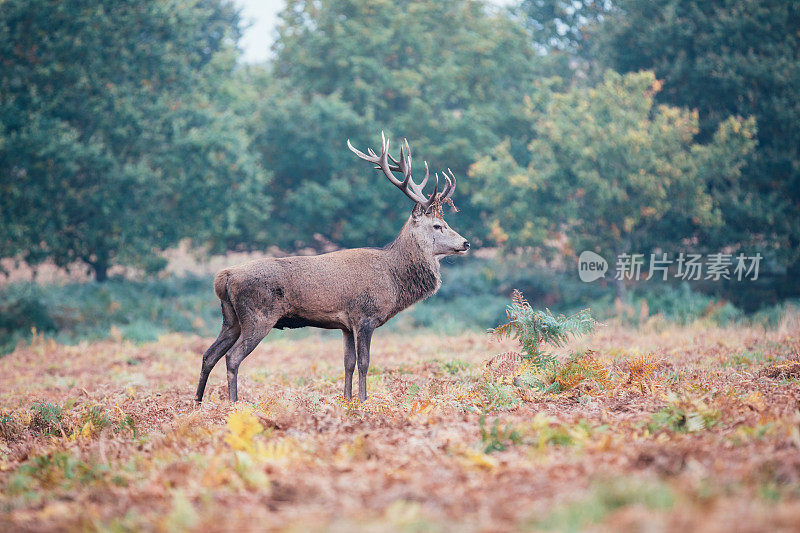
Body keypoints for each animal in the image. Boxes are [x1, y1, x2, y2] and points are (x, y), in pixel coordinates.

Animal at [195, 134, 468, 404]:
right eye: (437, 225)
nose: (465, 243)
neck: (393, 278)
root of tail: (224, 277)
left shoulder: (345, 325)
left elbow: (348, 363)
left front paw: (346, 400)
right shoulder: (364, 316)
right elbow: (364, 363)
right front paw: (363, 401)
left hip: (231, 318)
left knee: (209, 355)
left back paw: (197, 402)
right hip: (257, 315)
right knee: (232, 357)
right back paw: (233, 403)